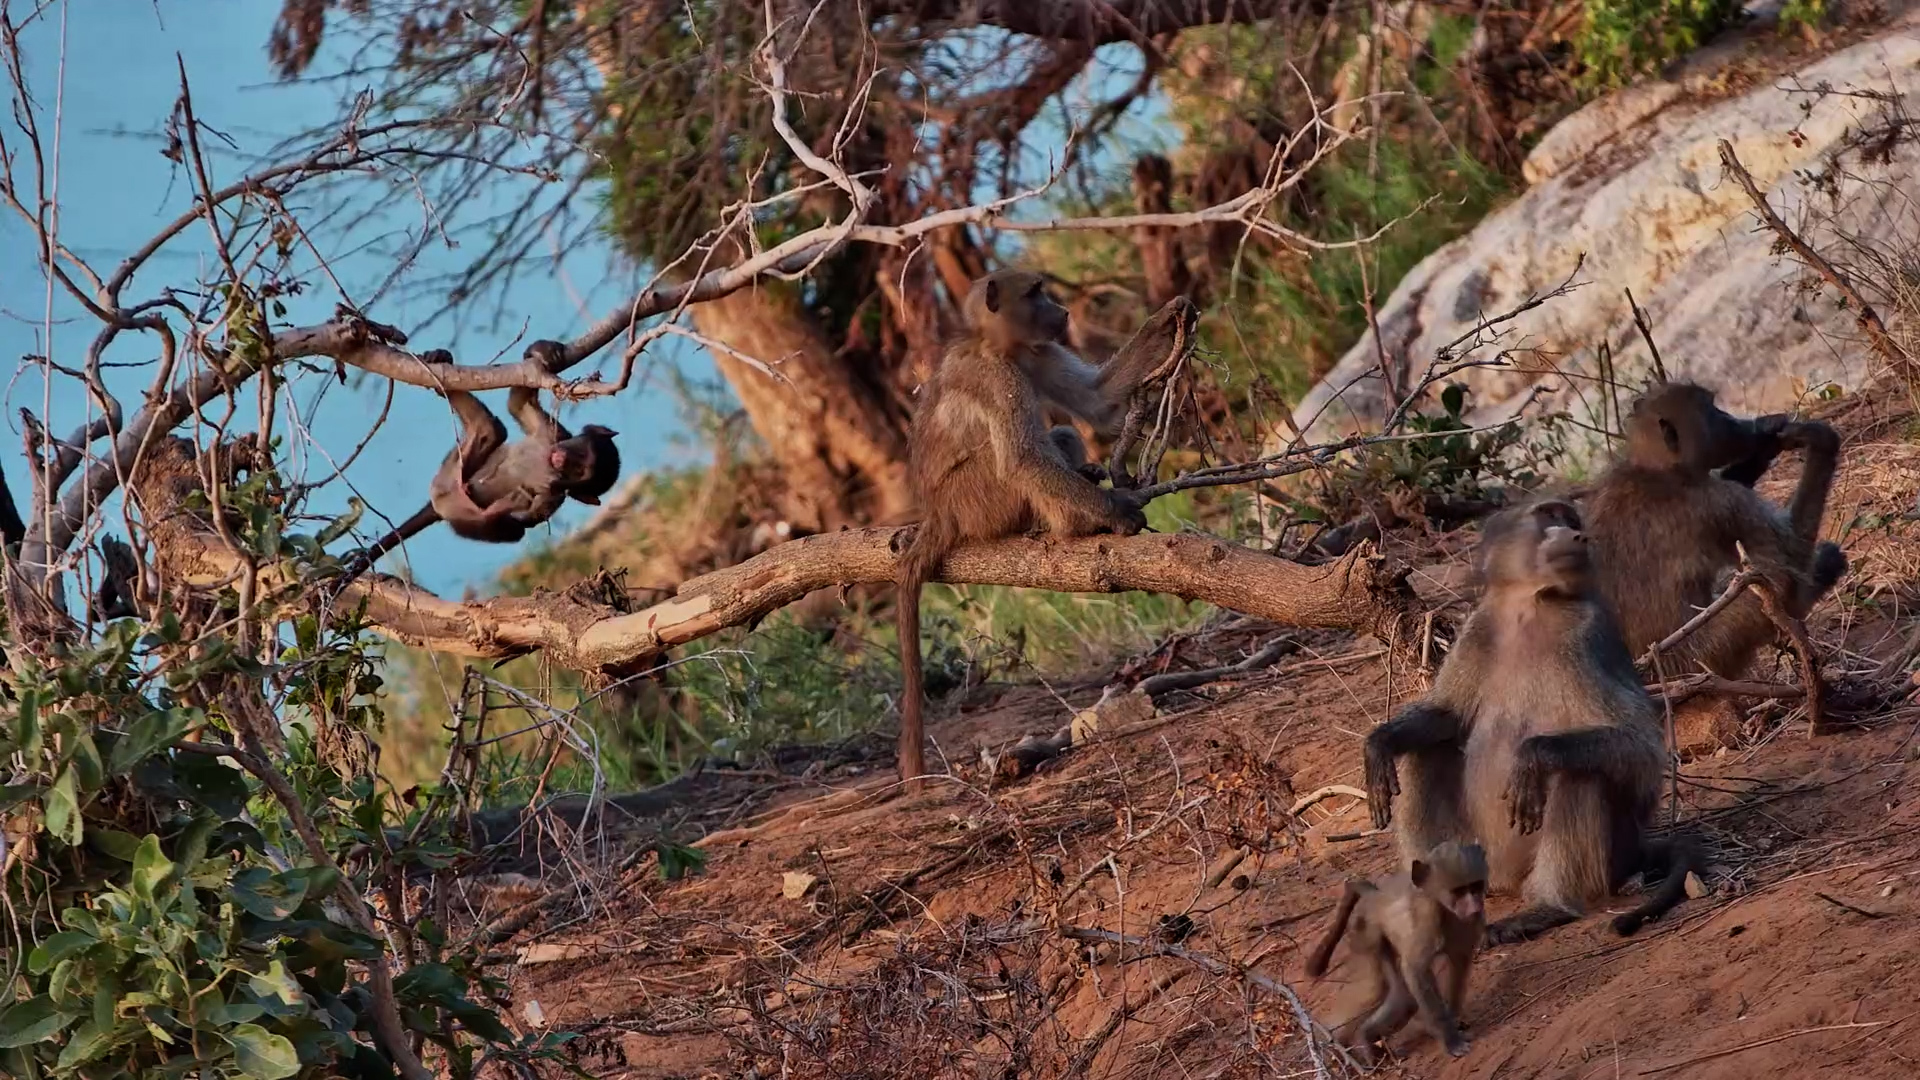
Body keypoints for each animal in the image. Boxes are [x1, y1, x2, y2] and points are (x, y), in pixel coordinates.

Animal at [350, 341, 620, 570]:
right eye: (579, 451)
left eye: (578, 471)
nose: (561, 459)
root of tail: (438, 502)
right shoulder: (552, 434)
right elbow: (519, 403)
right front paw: (543, 351)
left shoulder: (554, 493)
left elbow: (532, 518)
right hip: (451, 472)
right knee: (491, 429)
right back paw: (438, 361)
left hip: (456, 511)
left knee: (505, 524)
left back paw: (497, 509)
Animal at [894, 270, 1197, 786]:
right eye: (1035, 293)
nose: (1063, 312)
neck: (995, 344)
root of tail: (939, 513)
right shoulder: (999, 380)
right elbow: (1022, 460)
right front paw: (1118, 513)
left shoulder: (1037, 353)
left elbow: (1097, 400)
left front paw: (1169, 315)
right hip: (978, 502)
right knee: (1014, 457)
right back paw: (1072, 523)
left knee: (1061, 433)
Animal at [1304, 840, 1488, 1065]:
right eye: (1459, 891)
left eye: (1475, 886)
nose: (1474, 907)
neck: (1443, 907)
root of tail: (1374, 895)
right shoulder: (1427, 919)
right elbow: (1416, 970)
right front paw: (1450, 1039)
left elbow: (1459, 963)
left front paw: (1454, 1019)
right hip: (1367, 934)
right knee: (1395, 993)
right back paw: (1358, 1039)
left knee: (1404, 999)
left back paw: (1366, 1037)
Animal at [1364, 499, 1697, 944]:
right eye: (1548, 516)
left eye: (1570, 519)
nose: (1578, 535)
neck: (1529, 606)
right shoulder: (1478, 630)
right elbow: (1447, 716)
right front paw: (1379, 744)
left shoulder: (1588, 635)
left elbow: (1640, 748)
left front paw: (1530, 757)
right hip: (1481, 855)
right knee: (1427, 752)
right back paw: (1435, 898)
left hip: (1614, 850)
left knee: (1579, 774)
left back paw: (1547, 907)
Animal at [1581, 381, 1845, 679]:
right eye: (1711, 411)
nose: (1737, 422)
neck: (1655, 468)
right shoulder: (1721, 502)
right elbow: (1788, 554)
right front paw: (1821, 439)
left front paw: (1770, 437)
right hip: (1710, 656)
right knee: (1777, 579)